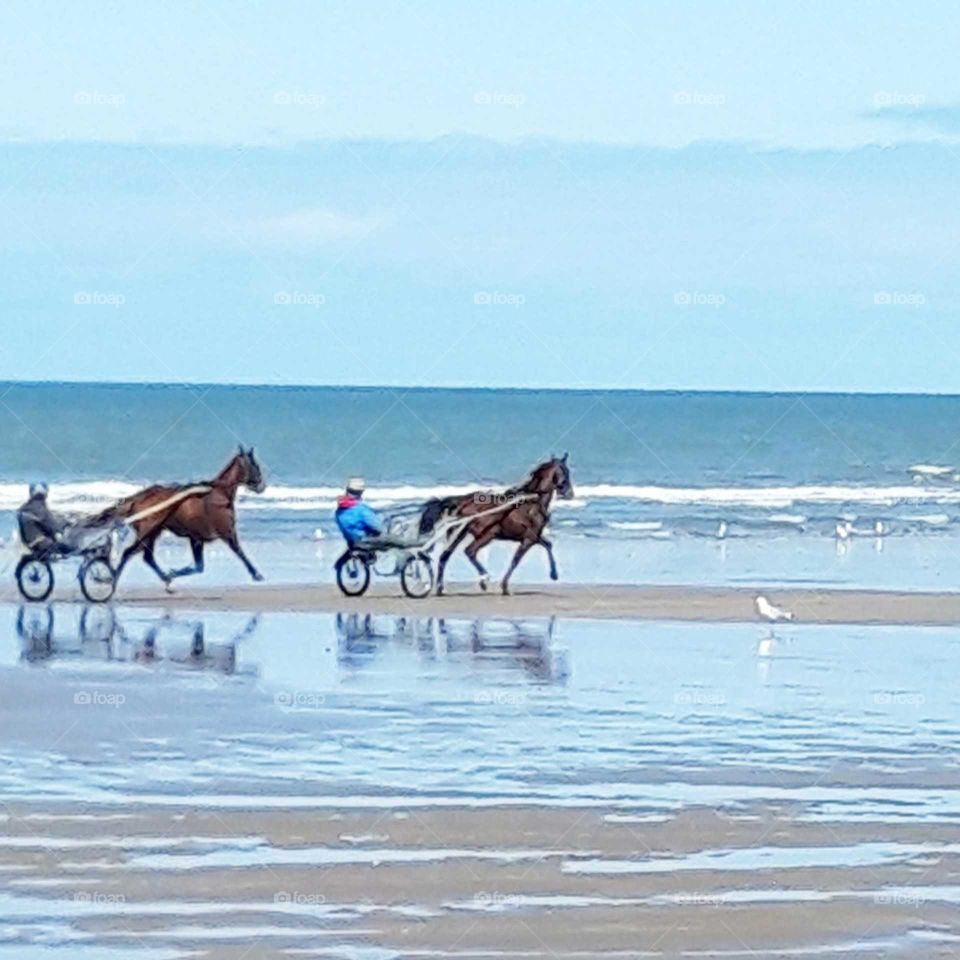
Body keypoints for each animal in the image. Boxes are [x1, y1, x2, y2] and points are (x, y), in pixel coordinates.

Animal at [98, 447, 266, 589]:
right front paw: (257, 574)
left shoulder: (197, 538)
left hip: (153, 533)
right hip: (147, 532)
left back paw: (164, 578)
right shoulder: (226, 533)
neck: (218, 494)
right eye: (255, 466)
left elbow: (199, 567)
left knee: (147, 557)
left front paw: (172, 573)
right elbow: (239, 552)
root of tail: (139, 498)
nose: (262, 486)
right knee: (129, 553)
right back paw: (114, 580)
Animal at [424, 454, 574, 596]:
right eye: (564, 471)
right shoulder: (529, 538)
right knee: (469, 551)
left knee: (446, 556)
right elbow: (516, 560)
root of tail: (463, 502)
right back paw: (483, 579)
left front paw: (554, 574)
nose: (570, 493)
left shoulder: (532, 536)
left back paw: (440, 588)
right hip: (487, 534)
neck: (533, 502)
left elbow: (548, 545)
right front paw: (505, 587)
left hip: (461, 533)